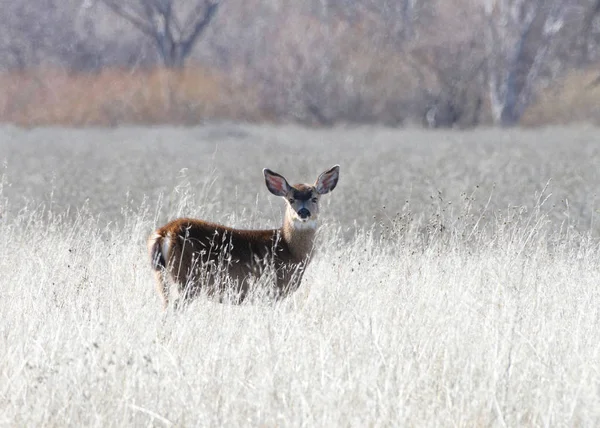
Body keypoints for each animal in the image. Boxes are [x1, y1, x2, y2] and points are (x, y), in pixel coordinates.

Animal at [147, 164, 340, 308]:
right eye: (291, 199)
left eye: (314, 198)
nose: (303, 212)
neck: (289, 250)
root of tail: (164, 232)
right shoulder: (271, 290)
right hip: (186, 277)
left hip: (162, 277)